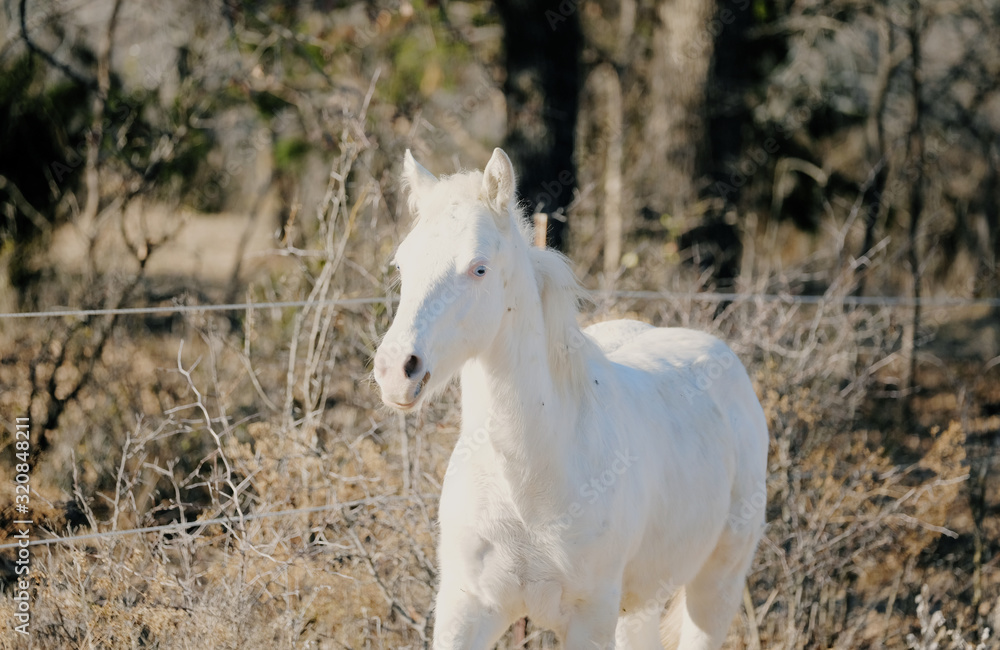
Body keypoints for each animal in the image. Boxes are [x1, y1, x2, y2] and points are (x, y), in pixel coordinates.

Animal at [373, 148, 768, 650]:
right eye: (402, 266)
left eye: (479, 268)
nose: (395, 370)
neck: (528, 483)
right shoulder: (466, 609)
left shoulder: (590, 617)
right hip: (642, 604)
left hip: (715, 587)